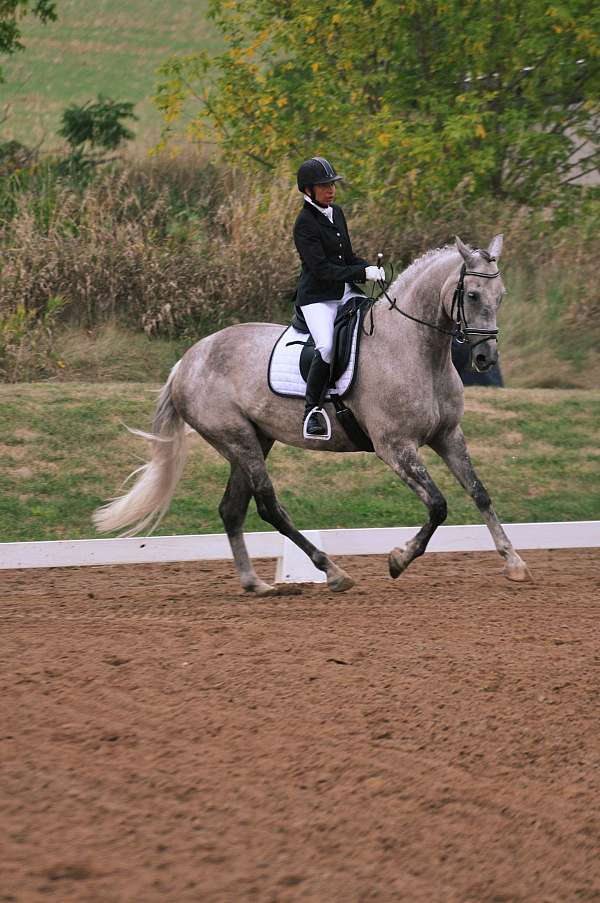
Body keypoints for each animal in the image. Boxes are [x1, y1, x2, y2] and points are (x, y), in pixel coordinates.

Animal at [93, 234, 531, 594]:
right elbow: (438, 505)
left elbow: (480, 493)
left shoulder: (448, 435)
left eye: (502, 295)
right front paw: (397, 560)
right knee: (269, 506)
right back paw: (333, 573)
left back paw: (257, 585)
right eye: (471, 295)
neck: (416, 350)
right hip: (237, 438)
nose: (484, 358)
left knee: (232, 509)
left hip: (254, 440)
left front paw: (514, 563)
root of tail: (187, 361)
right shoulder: (395, 447)